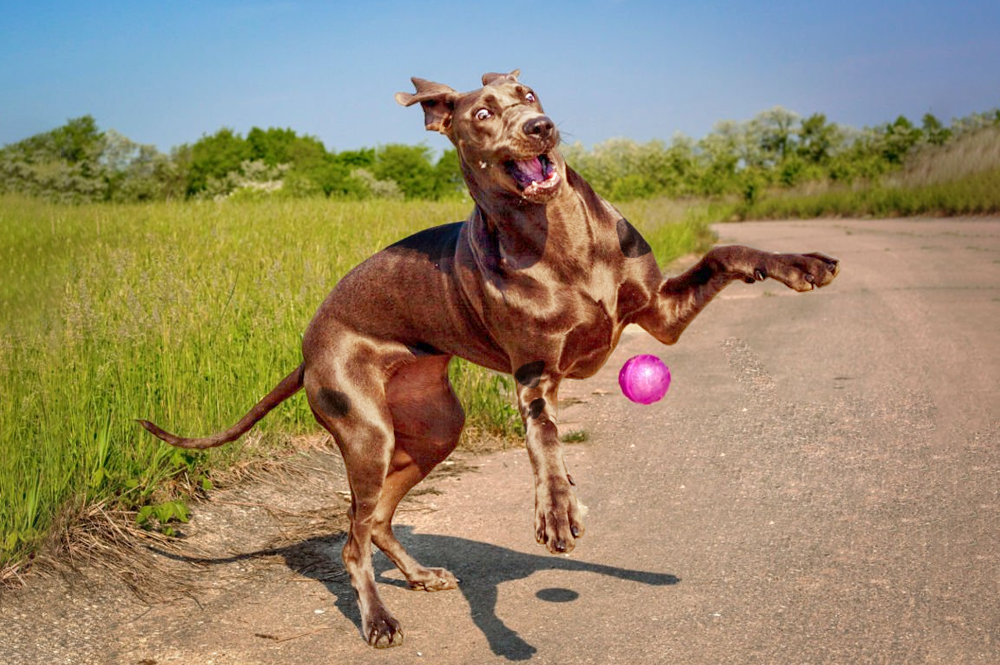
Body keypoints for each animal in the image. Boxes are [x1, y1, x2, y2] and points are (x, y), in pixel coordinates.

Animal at [141, 70, 840, 644]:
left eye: (529, 93)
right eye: (482, 113)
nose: (541, 127)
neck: (561, 237)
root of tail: (308, 345)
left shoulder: (661, 314)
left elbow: (727, 250)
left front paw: (800, 264)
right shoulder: (535, 374)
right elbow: (547, 438)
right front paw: (555, 508)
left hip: (435, 428)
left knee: (380, 519)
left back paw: (419, 575)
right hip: (365, 431)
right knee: (352, 538)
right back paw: (378, 618)